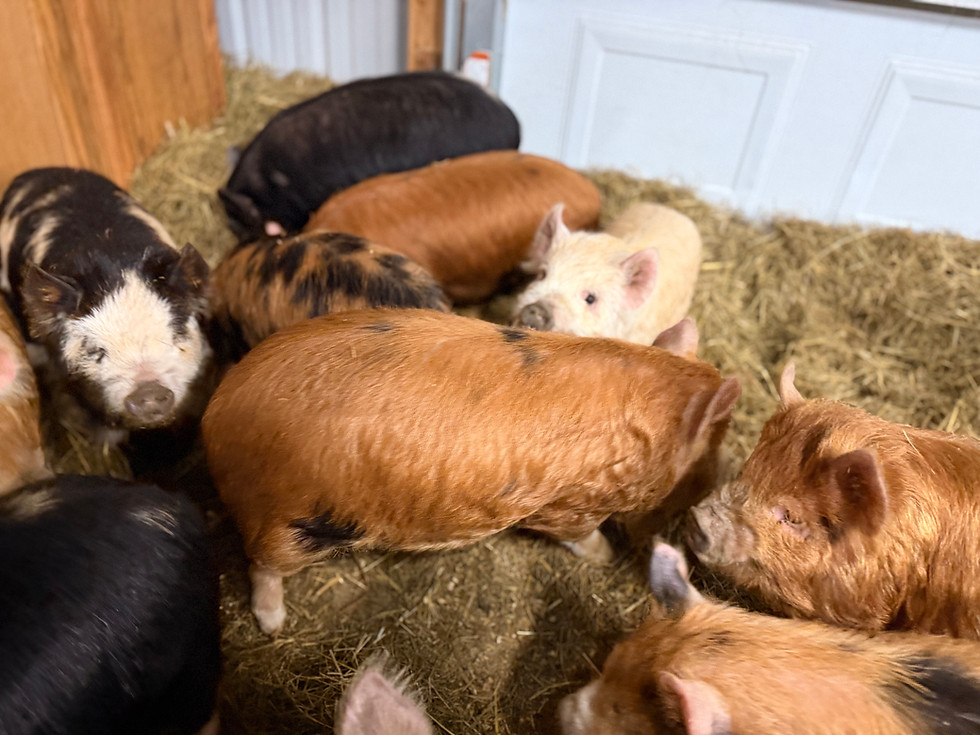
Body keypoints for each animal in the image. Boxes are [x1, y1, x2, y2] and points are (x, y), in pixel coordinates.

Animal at [202, 309, 740, 634]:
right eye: (713, 442)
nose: (715, 480)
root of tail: (216, 415)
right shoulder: (570, 506)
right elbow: (579, 537)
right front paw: (606, 557)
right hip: (295, 523)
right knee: (262, 565)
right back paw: (273, 626)